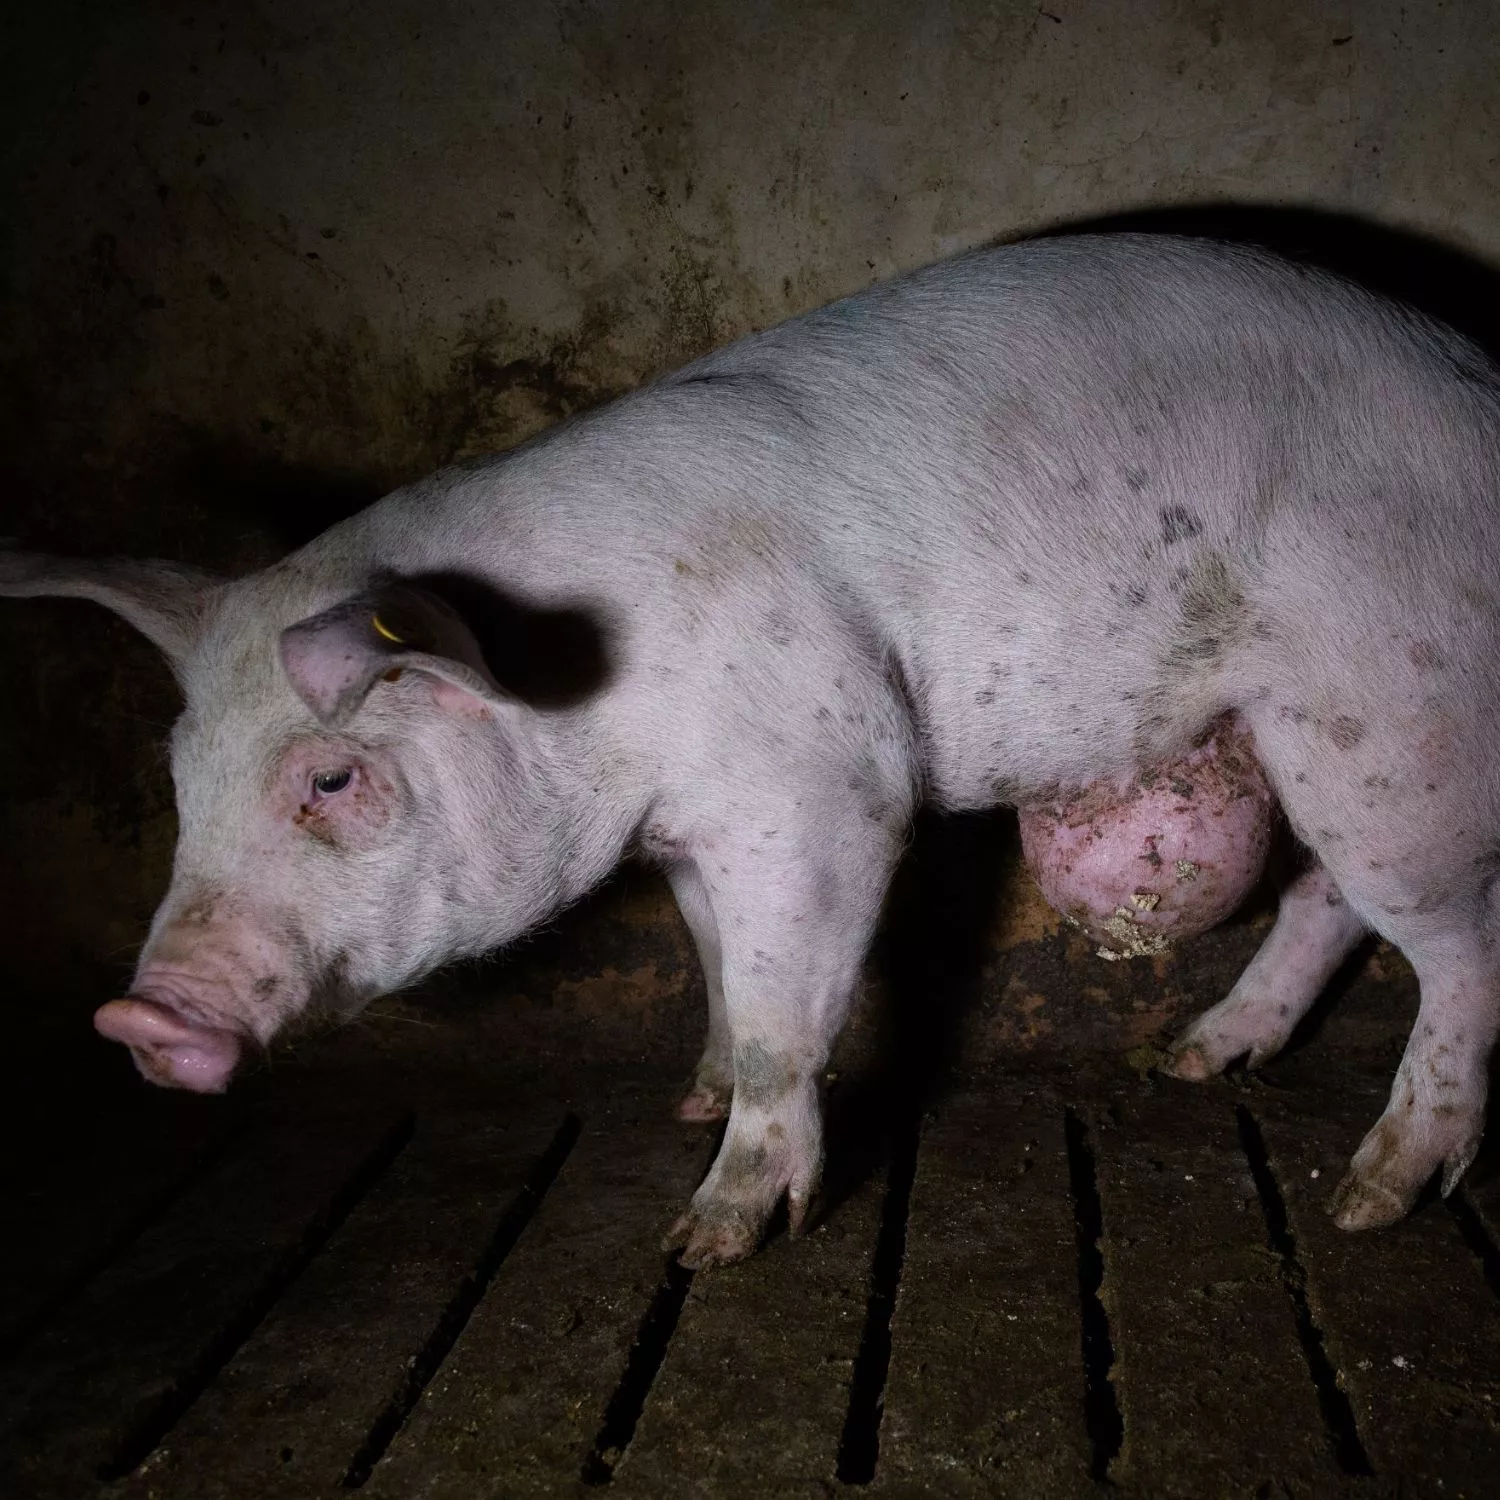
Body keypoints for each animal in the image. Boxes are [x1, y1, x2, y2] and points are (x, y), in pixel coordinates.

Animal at [5, 232, 1500, 1267]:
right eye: (180, 787)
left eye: (330, 778)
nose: (139, 1020)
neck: (579, 687)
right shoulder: (682, 835)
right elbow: (717, 965)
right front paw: (689, 1096)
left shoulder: (820, 782)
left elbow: (792, 1009)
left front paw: (709, 1238)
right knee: (1330, 898)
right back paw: (1193, 1060)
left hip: (1393, 714)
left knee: (1459, 945)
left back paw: (1370, 1199)